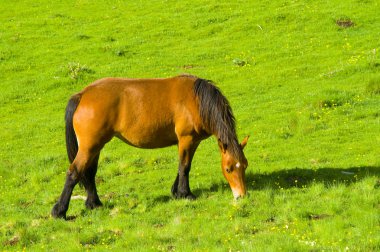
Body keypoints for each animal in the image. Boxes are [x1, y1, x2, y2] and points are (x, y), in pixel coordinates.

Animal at [52, 74, 249, 219]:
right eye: (228, 169)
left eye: (244, 167)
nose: (241, 196)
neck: (196, 100)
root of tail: (83, 94)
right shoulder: (187, 139)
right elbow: (184, 167)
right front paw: (185, 194)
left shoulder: (191, 142)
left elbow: (182, 166)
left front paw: (176, 192)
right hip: (90, 147)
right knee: (74, 172)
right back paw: (60, 211)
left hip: (95, 147)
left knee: (89, 173)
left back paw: (94, 203)